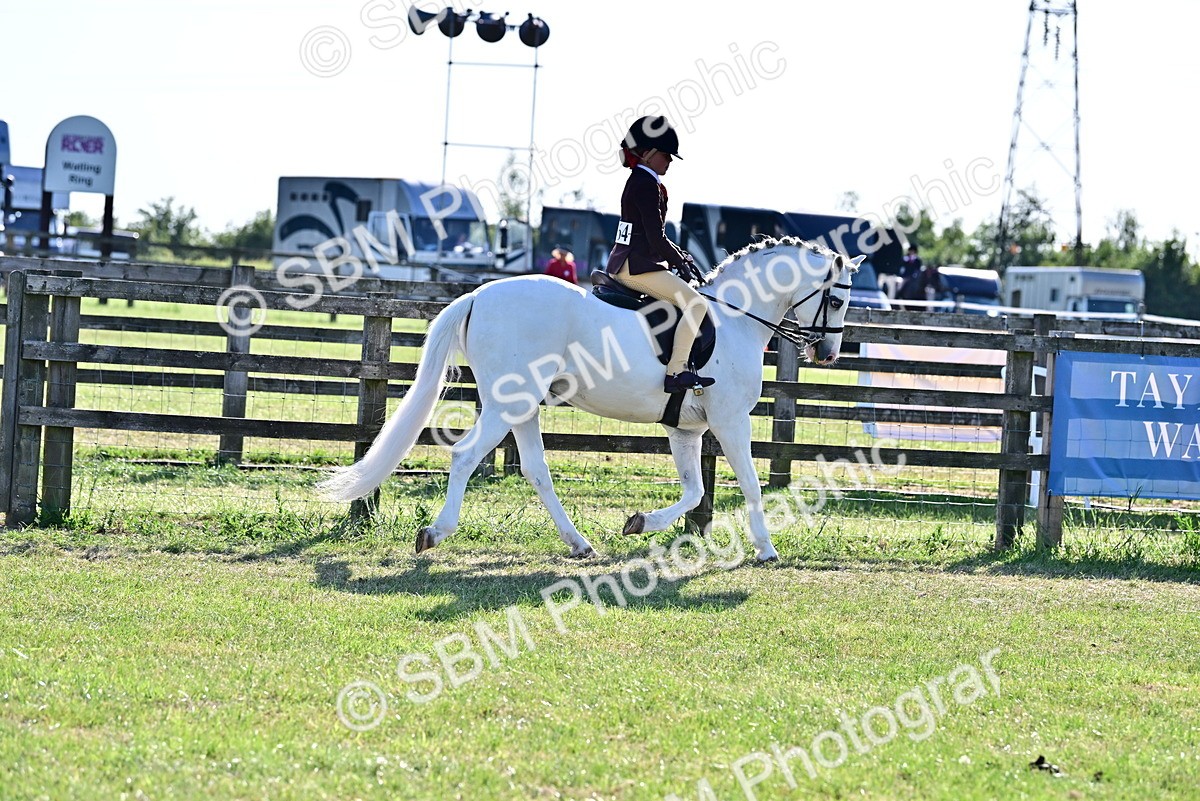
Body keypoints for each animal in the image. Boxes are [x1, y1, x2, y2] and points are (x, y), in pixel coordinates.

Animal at [317, 236, 861, 563]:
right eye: (836, 298)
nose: (829, 352)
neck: (735, 318)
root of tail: (479, 295)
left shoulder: (685, 428)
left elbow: (694, 492)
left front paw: (640, 523)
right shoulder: (730, 421)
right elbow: (747, 484)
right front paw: (767, 550)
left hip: (521, 406)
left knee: (536, 470)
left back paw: (579, 543)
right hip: (506, 404)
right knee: (466, 456)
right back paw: (435, 533)